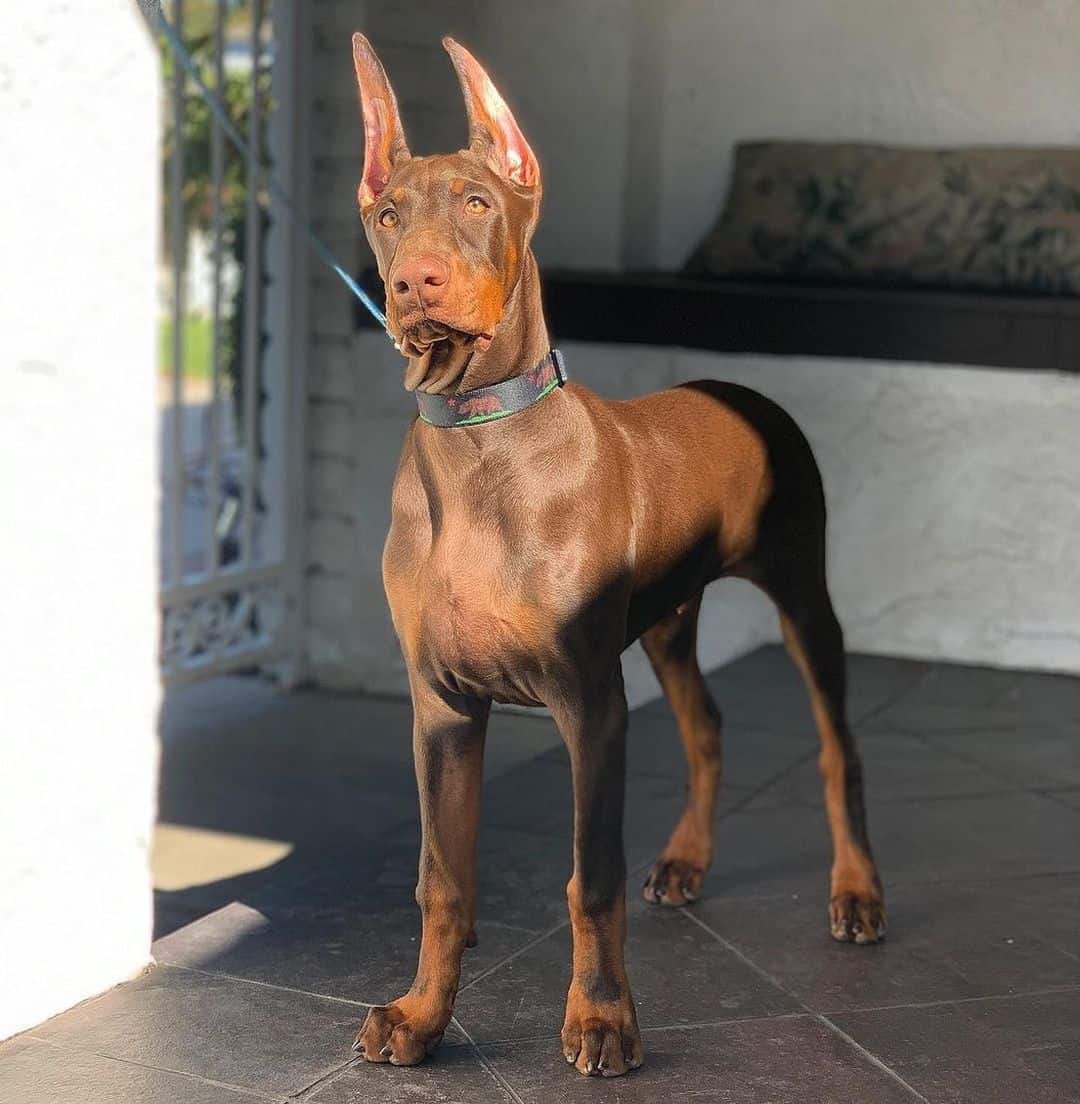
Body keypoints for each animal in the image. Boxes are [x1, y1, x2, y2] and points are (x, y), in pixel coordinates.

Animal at [348, 36, 879, 1077]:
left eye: (479, 203)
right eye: (389, 215)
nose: (414, 283)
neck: (480, 435)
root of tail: (741, 389)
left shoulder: (590, 704)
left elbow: (588, 879)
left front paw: (600, 1021)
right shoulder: (442, 705)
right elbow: (441, 878)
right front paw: (423, 1015)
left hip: (804, 594)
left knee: (838, 749)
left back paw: (856, 891)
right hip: (670, 621)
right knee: (707, 723)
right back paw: (686, 860)